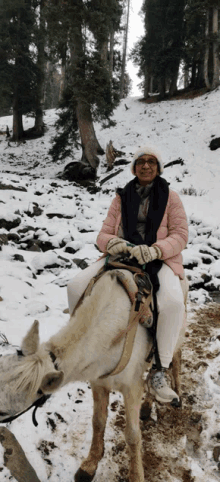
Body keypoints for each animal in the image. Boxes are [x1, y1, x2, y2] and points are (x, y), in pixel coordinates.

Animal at [0, 270, 186, 480]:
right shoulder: (98, 382)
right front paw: (89, 465)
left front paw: (136, 475)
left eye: (3, 411)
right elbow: (98, 422)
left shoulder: (131, 388)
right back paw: (146, 407)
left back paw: (175, 394)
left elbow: (132, 434)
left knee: (174, 361)